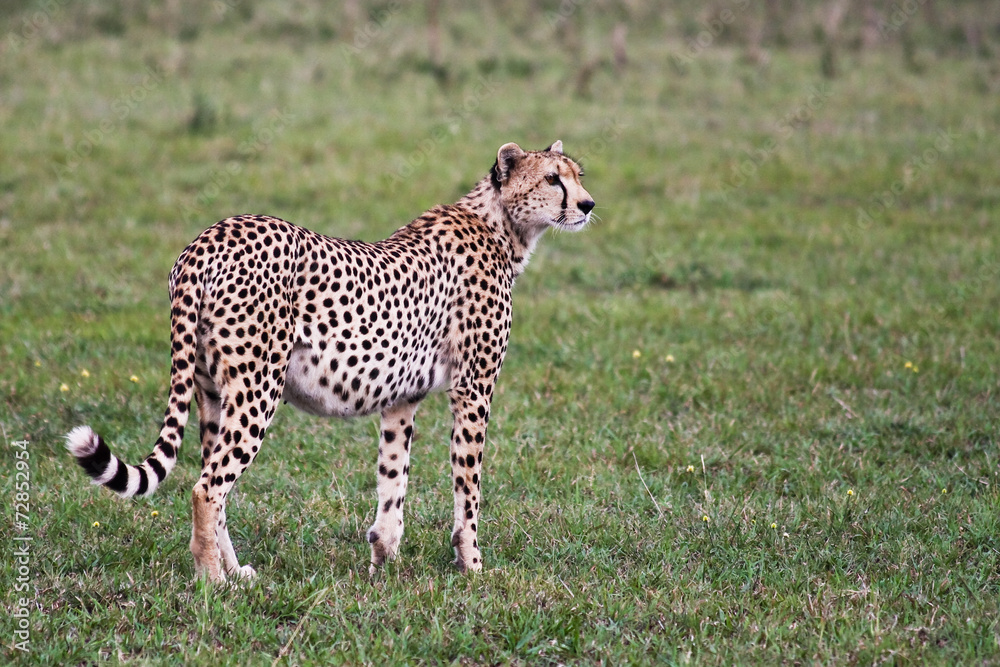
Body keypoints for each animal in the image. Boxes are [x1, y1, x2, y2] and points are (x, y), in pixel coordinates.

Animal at [66, 140, 595, 582]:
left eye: (578, 175)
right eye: (553, 179)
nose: (588, 205)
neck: (501, 225)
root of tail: (208, 238)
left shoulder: (402, 398)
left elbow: (392, 480)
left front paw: (383, 562)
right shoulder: (473, 388)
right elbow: (469, 488)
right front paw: (474, 568)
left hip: (211, 391)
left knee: (212, 482)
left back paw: (235, 571)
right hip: (257, 387)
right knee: (207, 488)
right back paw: (213, 582)